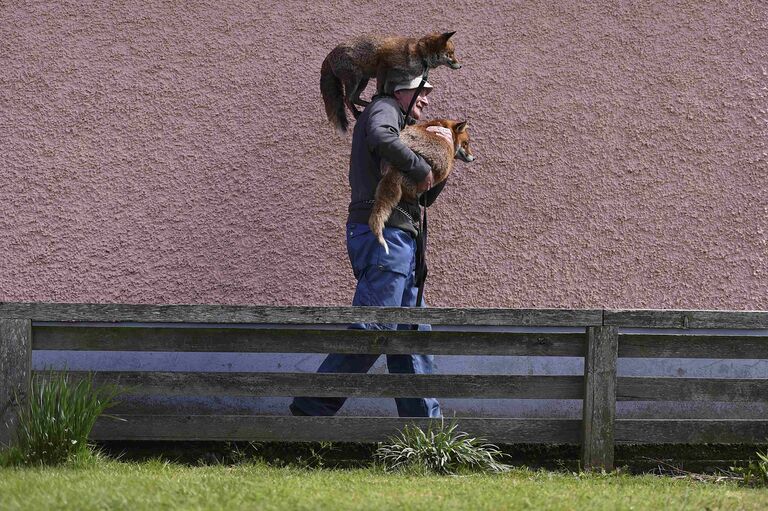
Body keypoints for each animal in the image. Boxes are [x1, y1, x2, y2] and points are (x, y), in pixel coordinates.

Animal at [320, 31, 460, 133]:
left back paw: (366, 104)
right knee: (347, 99)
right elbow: (381, 89)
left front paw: (406, 116)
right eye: (450, 54)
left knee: (355, 98)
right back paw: (356, 113)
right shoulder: (383, 65)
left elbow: (393, 97)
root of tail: (329, 55)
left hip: (363, 81)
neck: (419, 55)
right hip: (355, 79)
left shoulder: (393, 80)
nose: (460, 66)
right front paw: (381, 97)